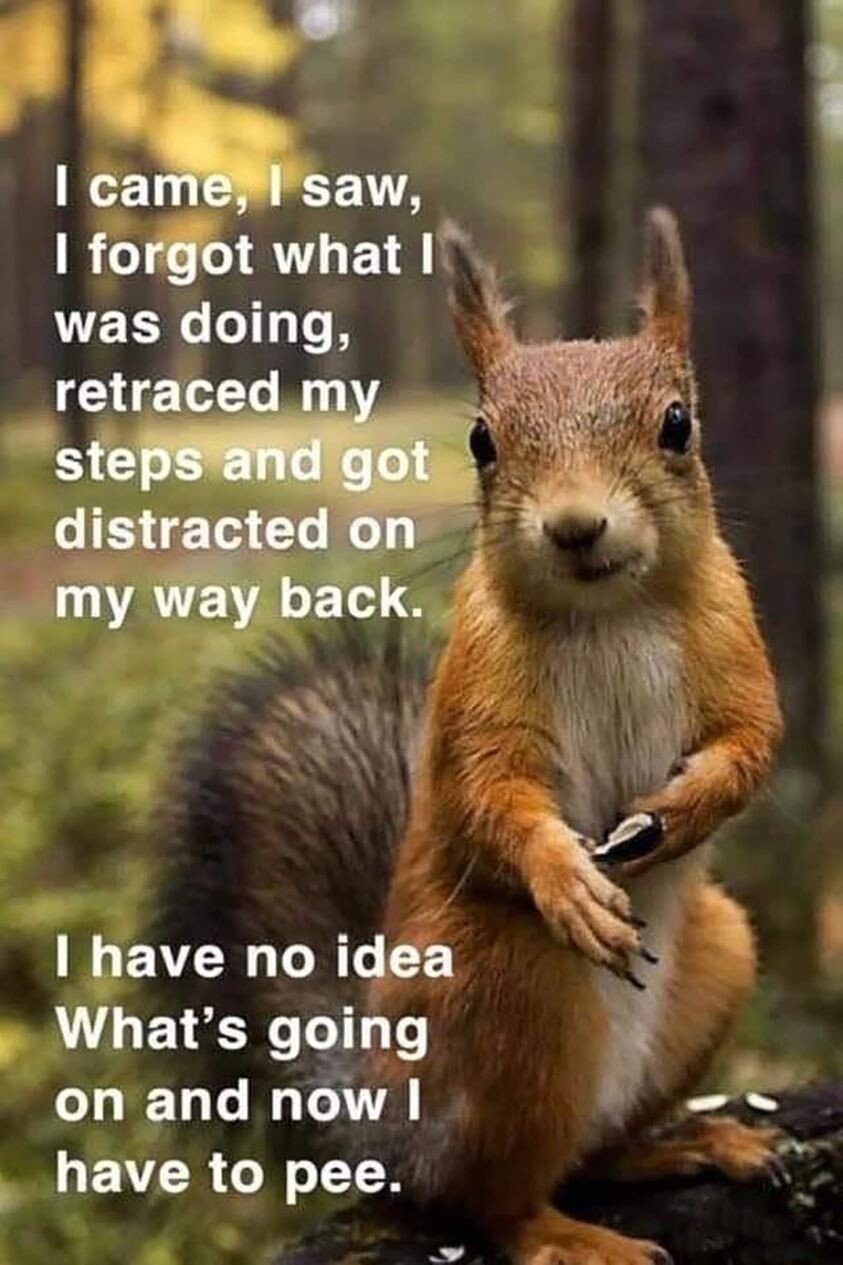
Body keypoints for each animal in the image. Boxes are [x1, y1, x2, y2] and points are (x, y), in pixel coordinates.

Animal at [155, 208, 783, 1265]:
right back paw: (564, 1234)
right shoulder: (475, 690)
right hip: (505, 987)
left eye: (677, 423)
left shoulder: (734, 640)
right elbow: (486, 795)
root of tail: (385, 1126)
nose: (575, 524)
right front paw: (566, 877)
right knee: (490, 1198)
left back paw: (682, 1142)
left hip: (719, 954)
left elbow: (750, 745)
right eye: (483, 440)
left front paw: (681, 810)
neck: (606, 612)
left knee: (592, 1151)